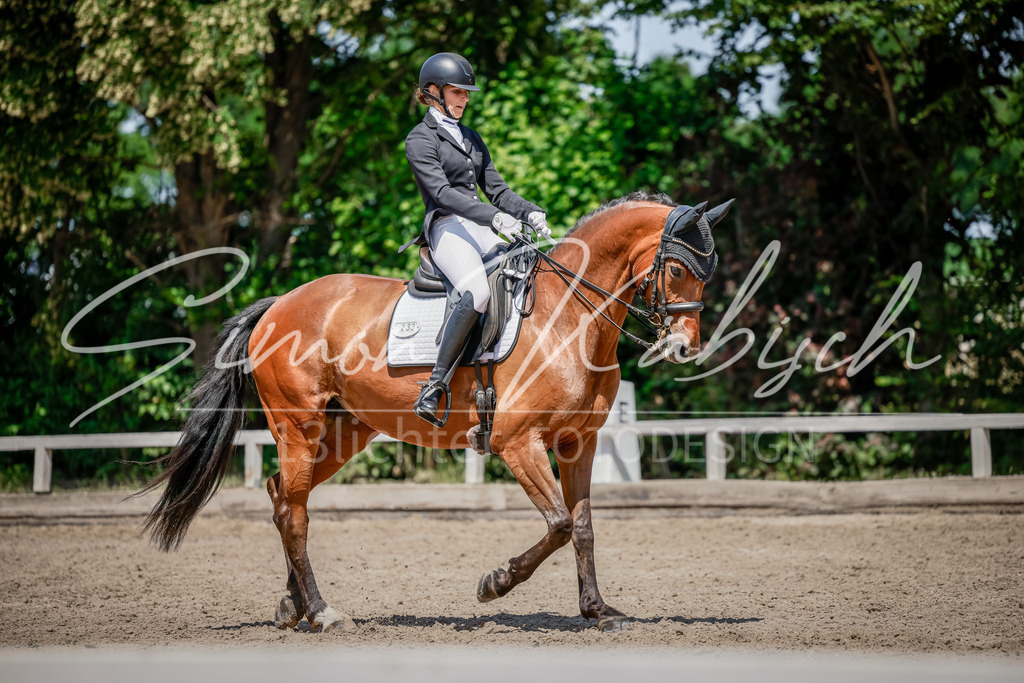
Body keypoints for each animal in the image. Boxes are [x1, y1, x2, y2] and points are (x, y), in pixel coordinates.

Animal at [139, 191, 731, 633]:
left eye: (708, 272)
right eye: (678, 270)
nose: (684, 347)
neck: (568, 318)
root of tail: (278, 305)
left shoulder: (576, 444)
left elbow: (583, 527)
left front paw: (598, 611)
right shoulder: (517, 443)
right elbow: (560, 524)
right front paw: (494, 583)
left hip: (341, 434)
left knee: (284, 499)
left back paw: (294, 607)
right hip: (297, 427)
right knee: (295, 513)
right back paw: (324, 613)